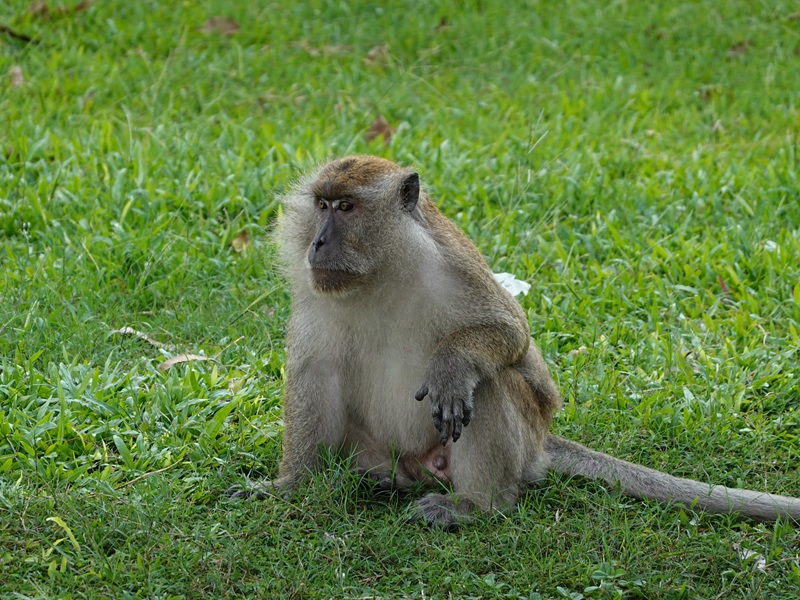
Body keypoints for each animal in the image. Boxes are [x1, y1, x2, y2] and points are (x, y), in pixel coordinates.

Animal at [230, 155, 800, 527]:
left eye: (347, 208)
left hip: (520, 440)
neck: (381, 272)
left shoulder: (454, 269)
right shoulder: (315, 292)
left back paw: (476, 506)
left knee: (489, 385)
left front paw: (453, 362)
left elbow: (510, 336)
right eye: (321, 204)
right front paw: (289, 487)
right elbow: (315, 374)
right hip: (380, 453)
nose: (317, 243)